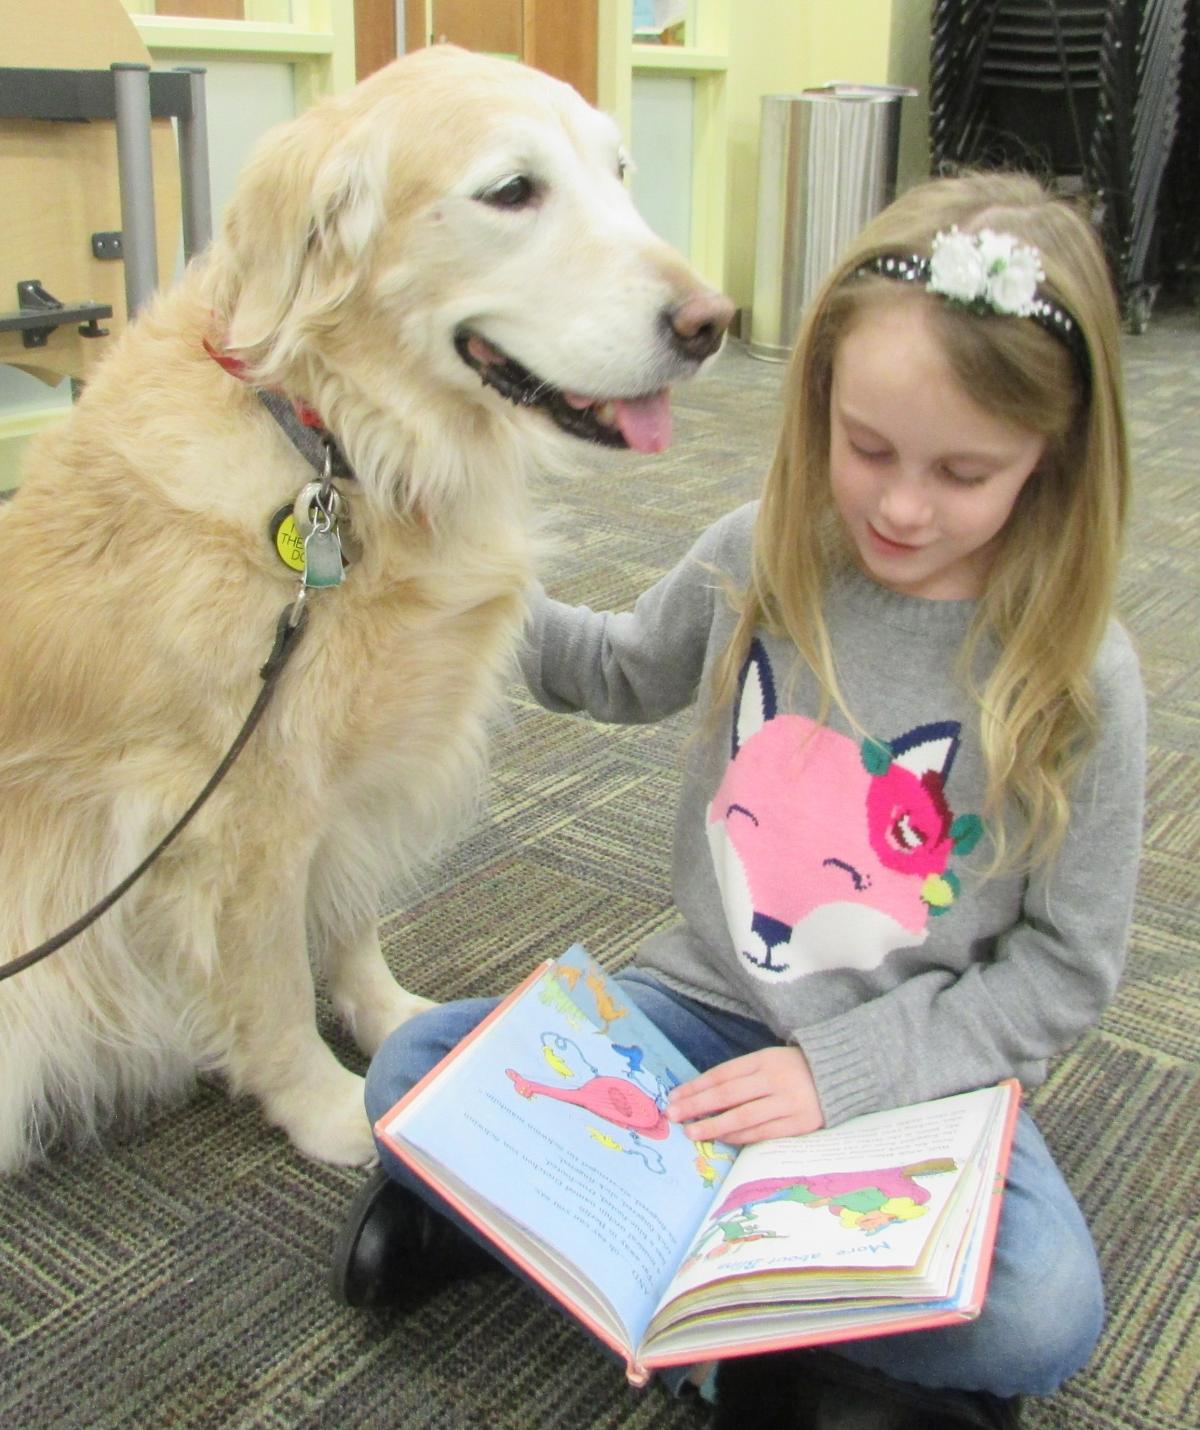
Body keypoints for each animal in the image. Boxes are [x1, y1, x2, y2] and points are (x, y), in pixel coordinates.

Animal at [0, 47, 732, 1172]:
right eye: (511, 191)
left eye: (619, 174)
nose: (713, 324)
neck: (338, 446)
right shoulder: (235, 810)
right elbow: (267, 981)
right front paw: (325, 1105)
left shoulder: (346, 786)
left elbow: (346, 917)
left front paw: (390, 1019)